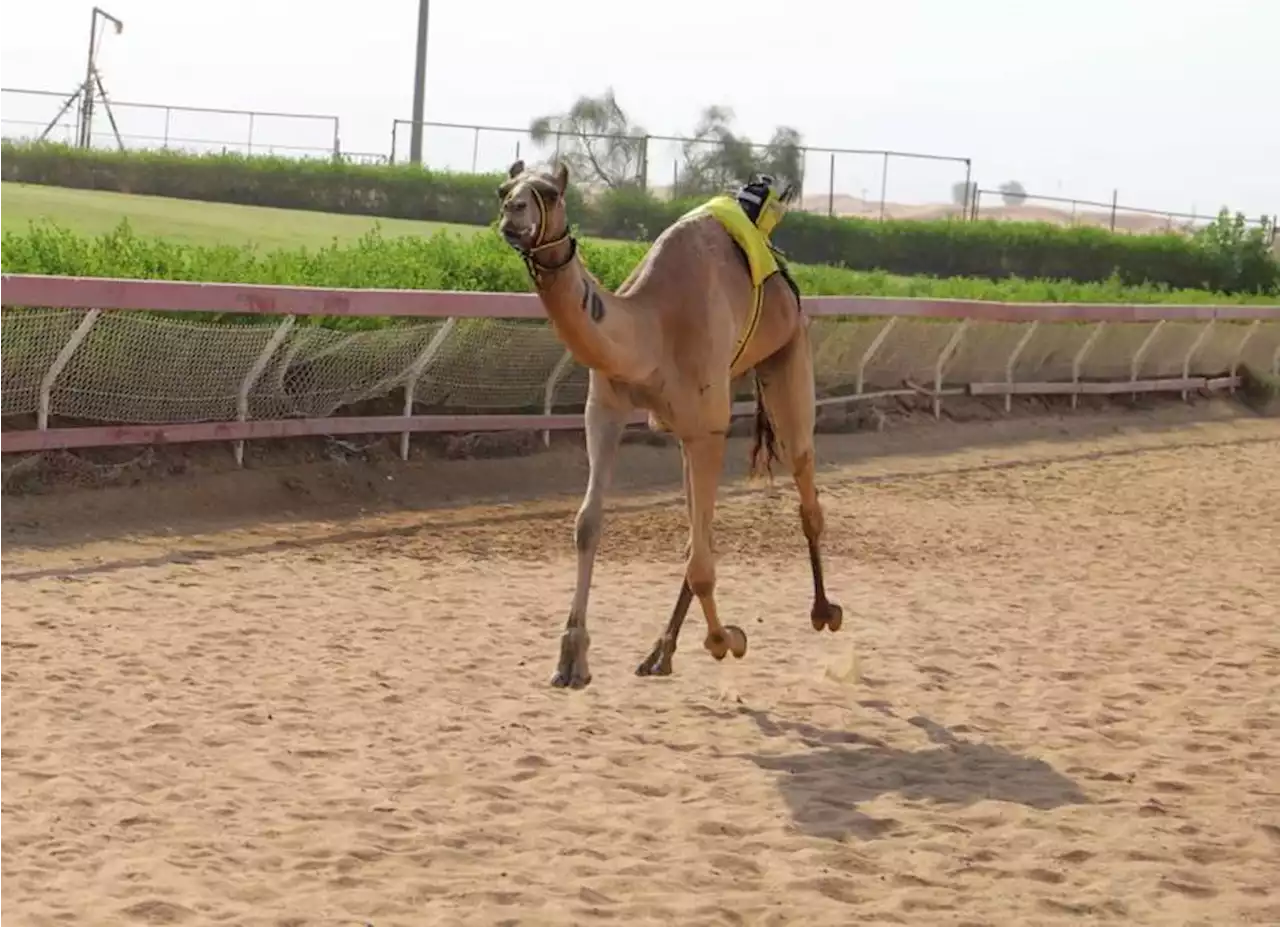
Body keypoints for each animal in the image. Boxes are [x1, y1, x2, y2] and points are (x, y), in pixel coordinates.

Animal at [496, 159, 839, 686]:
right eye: (503, 189)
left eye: (550, 194)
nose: (513, 216)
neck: (652, 327)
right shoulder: (606, 407)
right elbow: (589, 523)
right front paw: (571, 658)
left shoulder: (709, 426)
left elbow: (701, 560)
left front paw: (727, 640)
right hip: (690, 424)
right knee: (700, 527)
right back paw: (662, 650)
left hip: (788, 351)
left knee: (803, 480)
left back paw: (824, 611)